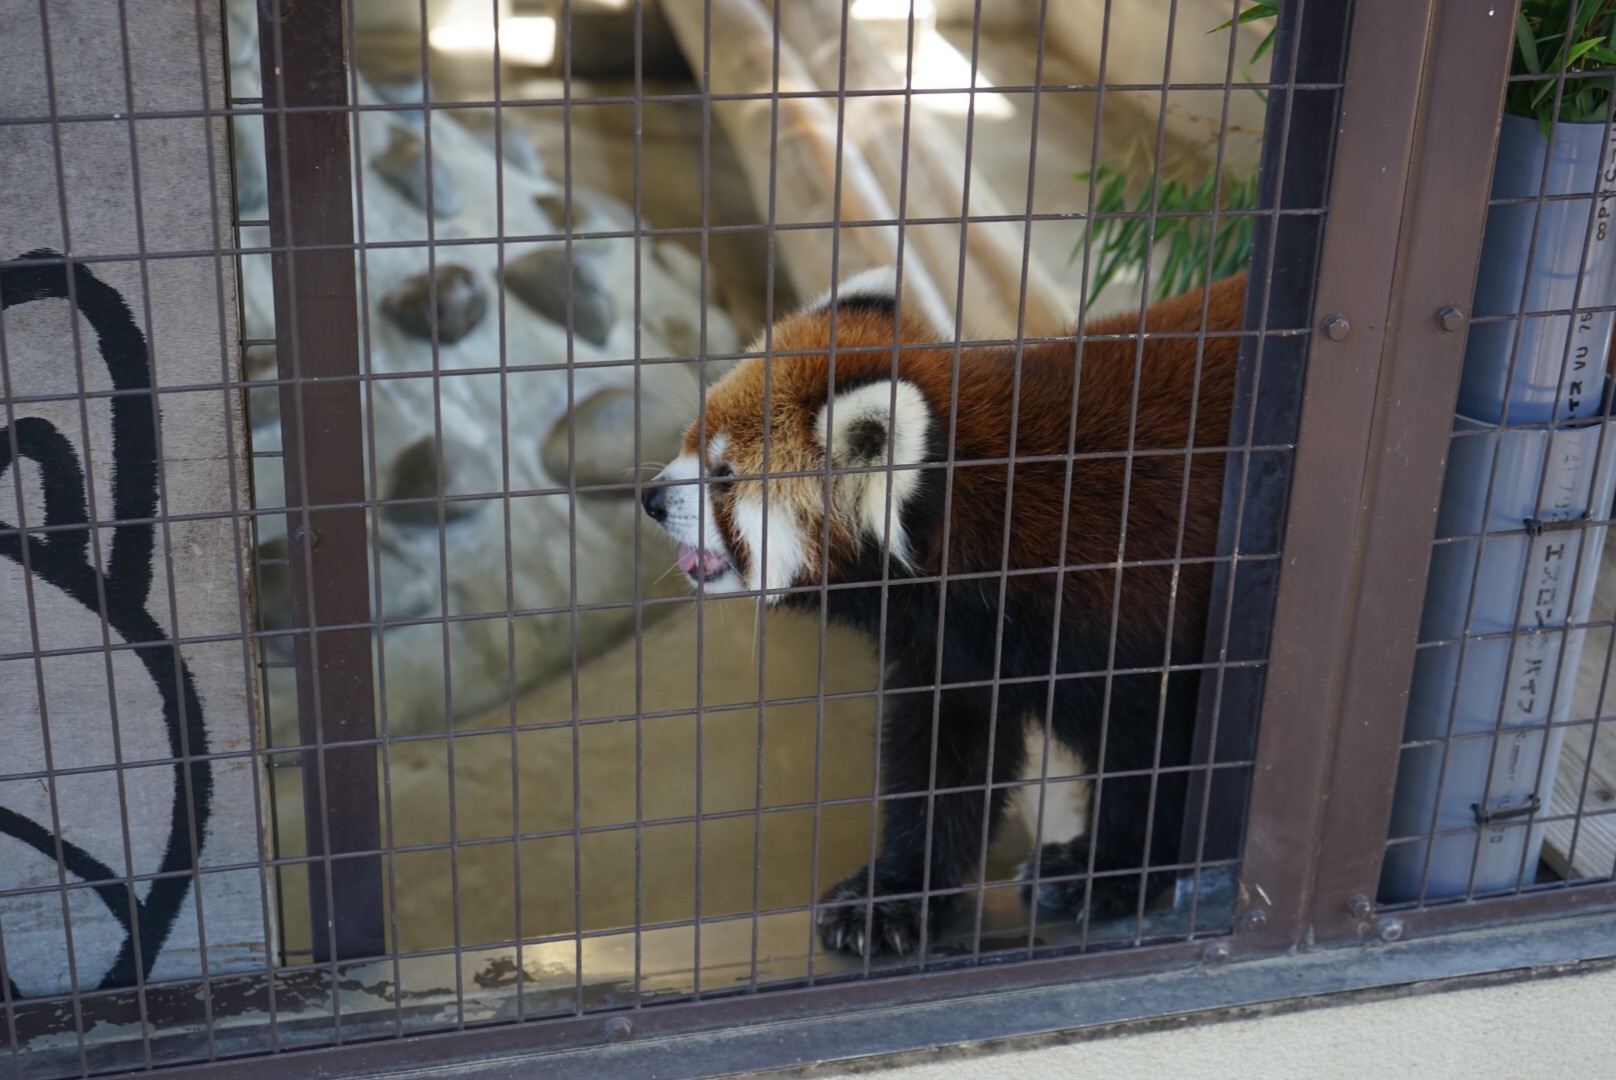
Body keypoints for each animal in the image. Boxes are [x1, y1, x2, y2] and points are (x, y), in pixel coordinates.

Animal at [636, 270, 1241, 950]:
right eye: (691, 439)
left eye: (723, 477)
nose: (651, 499)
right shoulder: (955, 648)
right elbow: (943, 759)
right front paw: (897, 894)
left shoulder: (1131, 610)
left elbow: (1157, 753)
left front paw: (1104, 871)